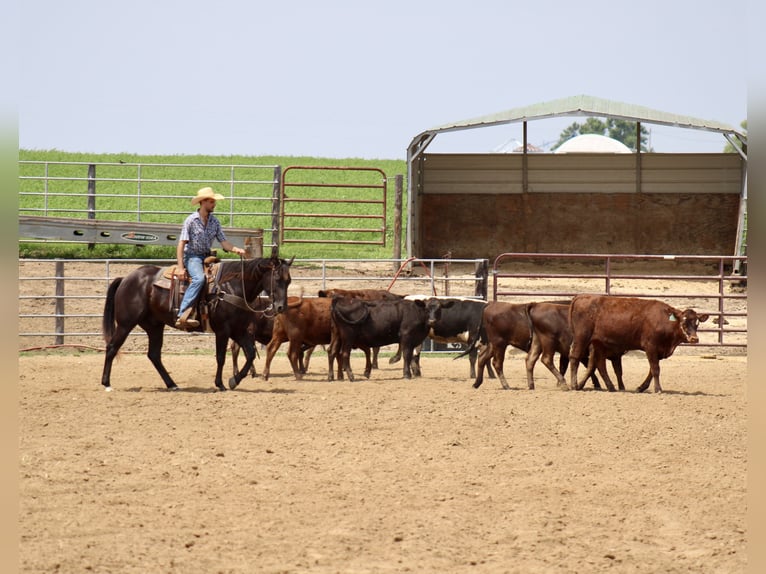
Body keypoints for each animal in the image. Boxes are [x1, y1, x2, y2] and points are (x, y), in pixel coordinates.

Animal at [102, 258, 294, 394]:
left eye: (289, 280)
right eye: (277, 278)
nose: (281, 307)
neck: (232, 287)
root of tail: (126, 278)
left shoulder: (239, 330)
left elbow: (251, 354)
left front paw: (234, 380)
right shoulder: (223, 330)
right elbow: (221, 357)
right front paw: (220, 384)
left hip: (154, 326)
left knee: (154, 355)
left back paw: (172, 384)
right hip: (126, 323)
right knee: (112, 347)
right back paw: (107, 384)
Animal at [568, 294, 712, 394]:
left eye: (697, 323)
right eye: (683, 322)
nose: (694, 339)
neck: (664, 320)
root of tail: (581, 296)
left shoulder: (658, 350)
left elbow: (652, 370)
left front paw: (641, 387)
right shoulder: (651, 346)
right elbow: (655, 369)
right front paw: (658, 389)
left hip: (598, 343)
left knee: (599, 364)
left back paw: (610, 387)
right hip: (582, 337)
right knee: (575, 357)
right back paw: (574, 385)